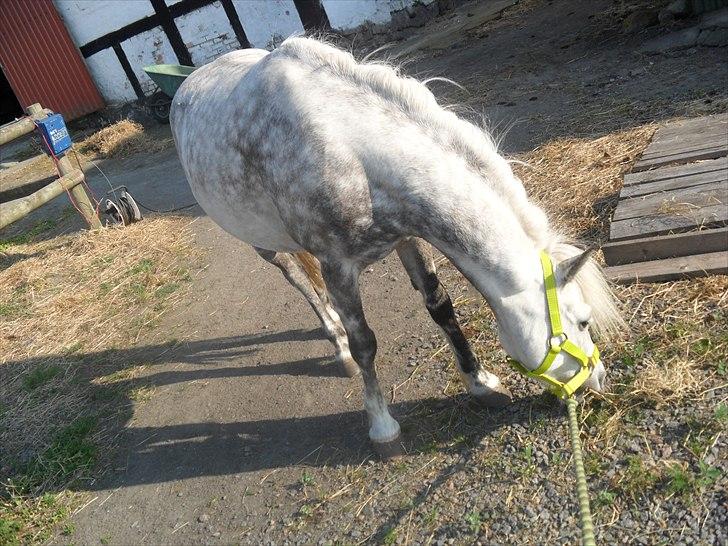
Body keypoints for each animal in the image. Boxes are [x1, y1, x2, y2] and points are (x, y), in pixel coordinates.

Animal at [170, 37, 623, 458]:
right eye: (583, 322)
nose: (598, 378)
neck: (353, 157)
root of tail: (186, 85)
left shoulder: (408, 237)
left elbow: (440, 307)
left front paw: (481, 383)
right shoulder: (337, 266)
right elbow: (364, 343)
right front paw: (383, 427)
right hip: (264, 245)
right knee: (299, 281)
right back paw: (336, 342)